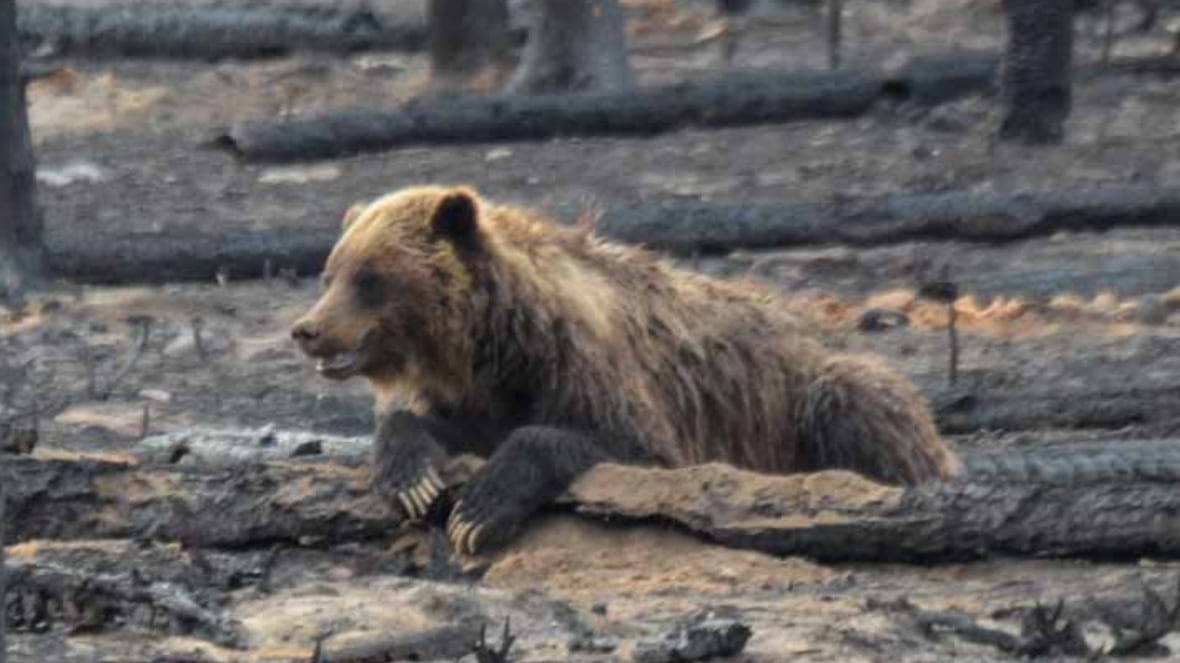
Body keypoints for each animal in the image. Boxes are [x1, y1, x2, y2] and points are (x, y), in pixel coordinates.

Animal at [290, 184, 962, 552]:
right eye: (330, 273)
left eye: (370, 277)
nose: (307, 330)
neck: (488, 343)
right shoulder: (471, 395)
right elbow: (426, 427)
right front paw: (412, 479)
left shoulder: (585, 369)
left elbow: (617, 443)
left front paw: (478, 512)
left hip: (810, 395)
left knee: (859, 400)